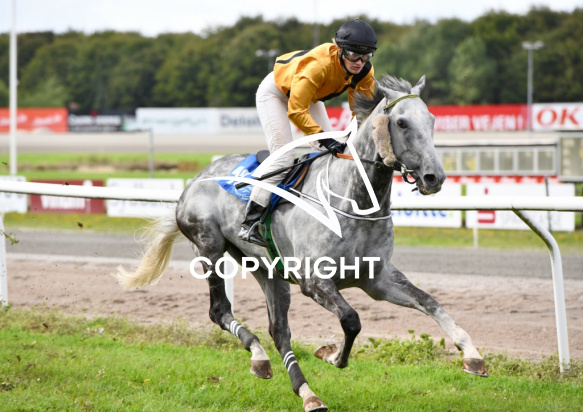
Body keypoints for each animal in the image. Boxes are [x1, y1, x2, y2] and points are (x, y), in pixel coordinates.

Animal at [115, 74, 488, 412]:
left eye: (432, 120)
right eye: (401, 122)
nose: (434, 177)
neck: (352, 201)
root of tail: (192, 183)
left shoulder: (377, 279)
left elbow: (430, 302)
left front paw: (472, 355)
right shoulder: (314, 281)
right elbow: (352, 320)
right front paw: (332, 355)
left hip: (267, 269)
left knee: (279, 330)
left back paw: (303, 390)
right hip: (209, 247)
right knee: (220, 311)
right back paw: (263, 360)